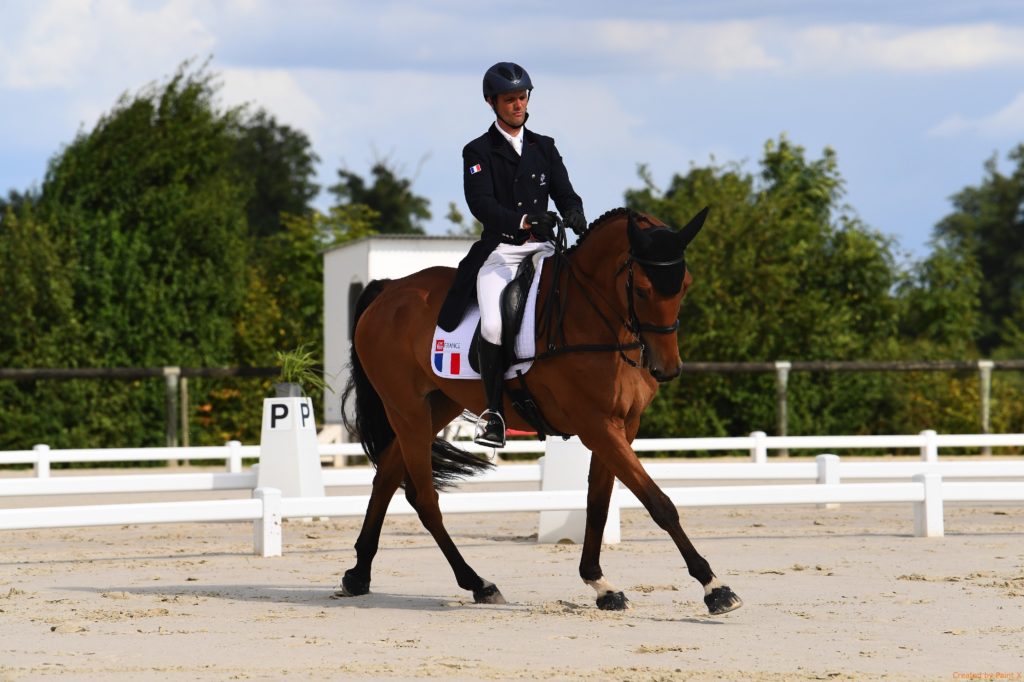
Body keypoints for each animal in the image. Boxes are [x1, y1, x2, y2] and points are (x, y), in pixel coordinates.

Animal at [339, 204, 741, 614]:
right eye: (643, 289)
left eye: (685, 284)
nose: (667, 368)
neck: (596, 319)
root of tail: (388, 290)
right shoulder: (596, 425)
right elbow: (658, 501)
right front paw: (714, 588)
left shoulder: (622, 425)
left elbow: (598, 501)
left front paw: (600, 584)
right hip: (408, 410)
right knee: (423, 497)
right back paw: (478, 583)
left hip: (437, 405)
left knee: (386, 476)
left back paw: (359, 573)